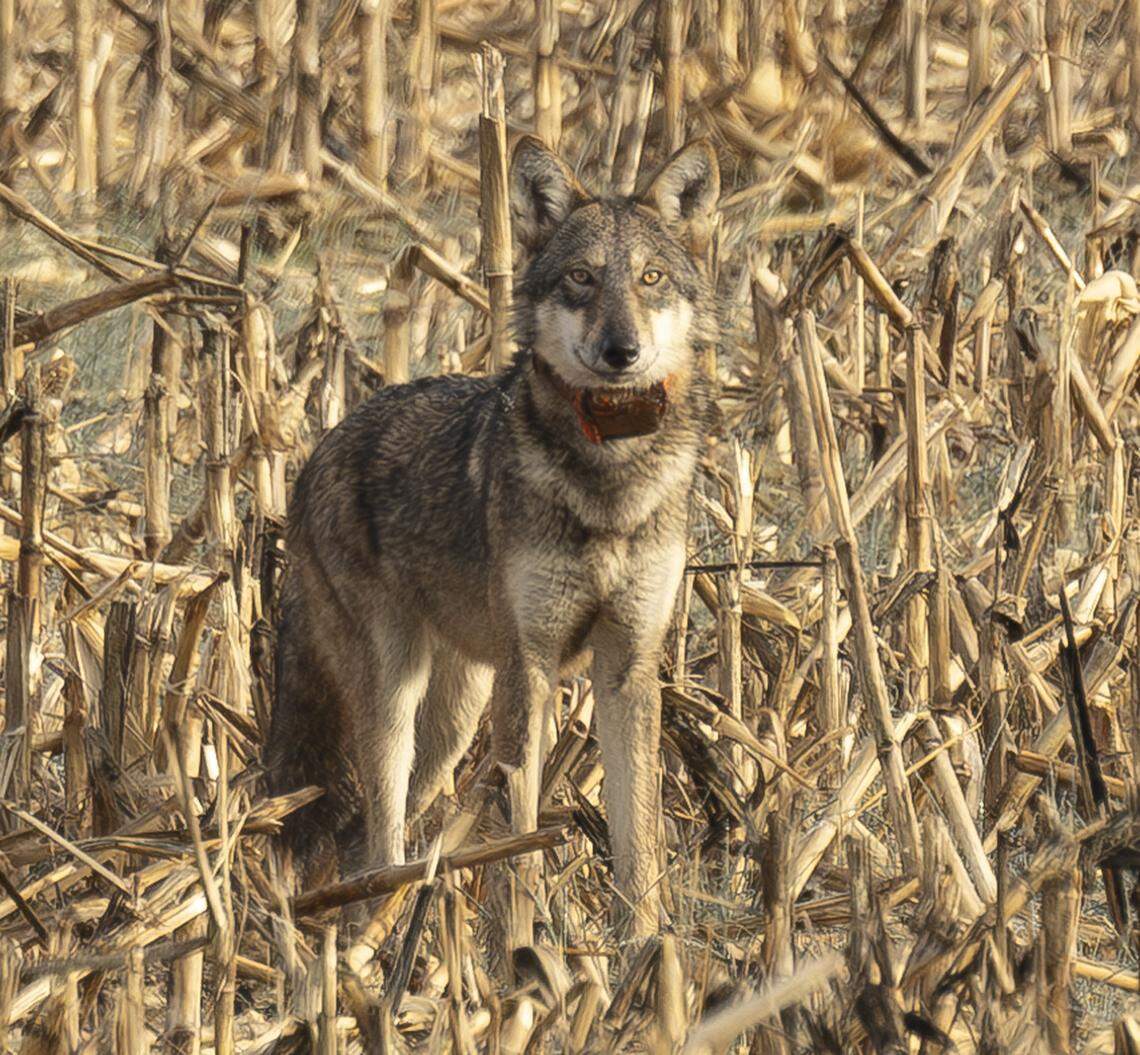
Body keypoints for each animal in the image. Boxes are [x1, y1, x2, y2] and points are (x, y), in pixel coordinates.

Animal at [267, 135, 720, 941]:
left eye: (651, 278)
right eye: (581, 278)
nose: (622, 351)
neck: (609, 475)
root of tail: (320, 449)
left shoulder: (628, 667)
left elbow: (639, 835)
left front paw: (642, 946)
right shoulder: (529, 669)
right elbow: (521, 833)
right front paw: (522, 944)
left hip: (454, 719)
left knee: (366, 837)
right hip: (397, 692)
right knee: (379, 835)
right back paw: (371, 933)